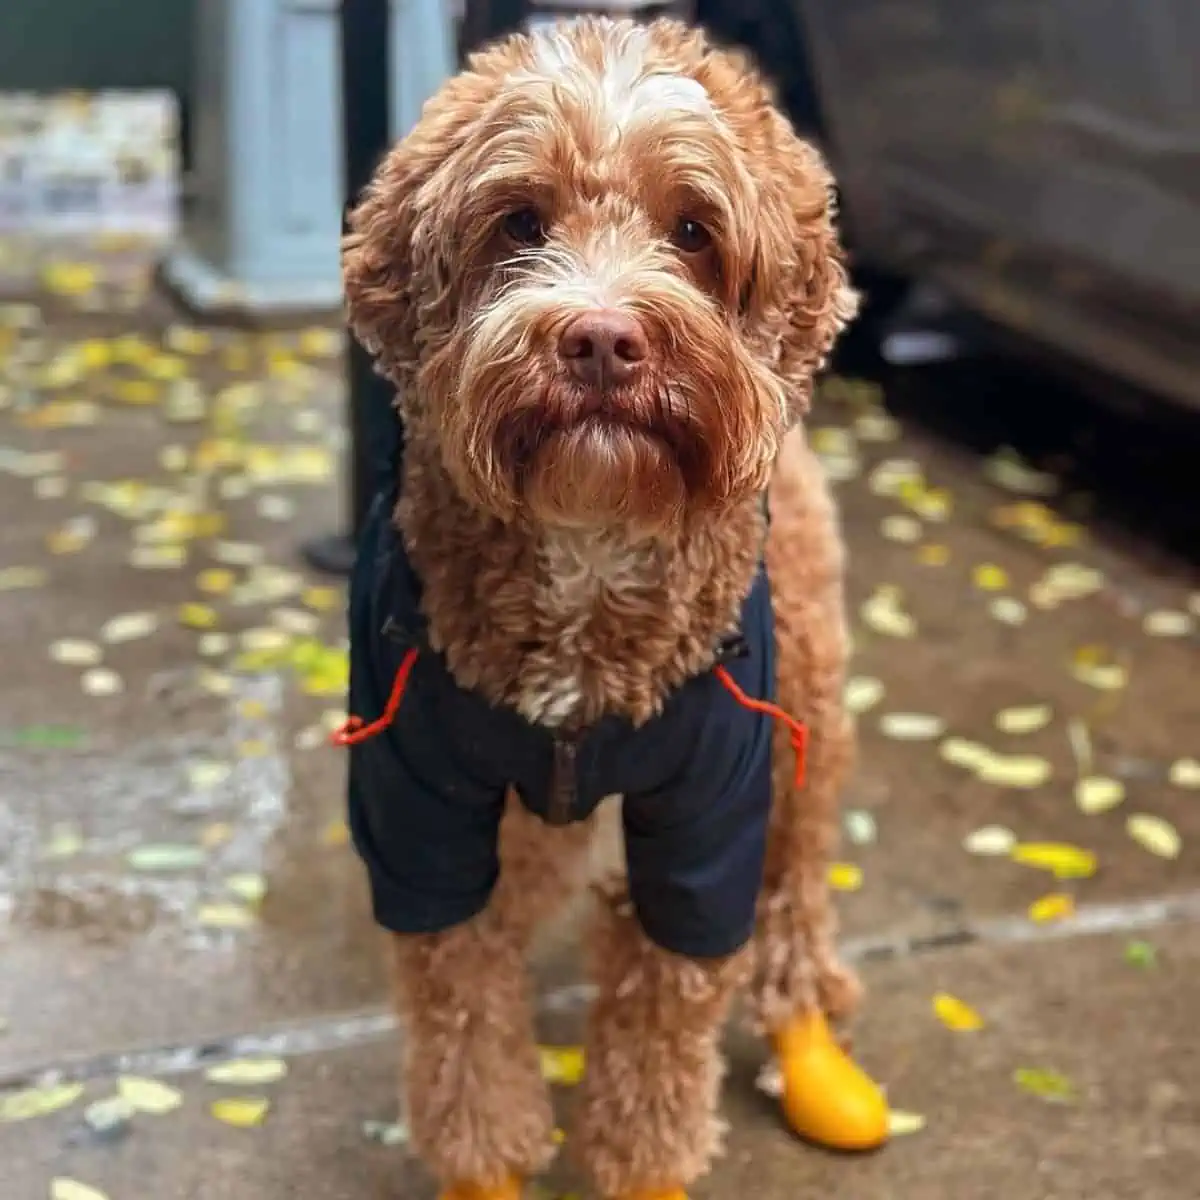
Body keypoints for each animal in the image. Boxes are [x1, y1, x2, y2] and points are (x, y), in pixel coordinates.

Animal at [338, 16, 883, 1200]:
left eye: (693, 231)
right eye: (519, 221)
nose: (598, 340)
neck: (586, 544)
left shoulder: (709, 807)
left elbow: (664, 1027)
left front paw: (645, 1160)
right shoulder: (418, 799)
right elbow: (462, 1002)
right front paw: (485, 1160)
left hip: (809, 722)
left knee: (792, 890)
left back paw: (809, 1045)